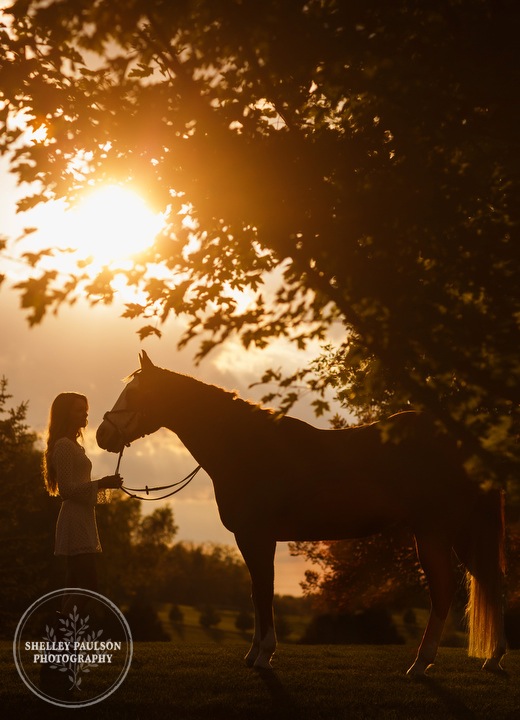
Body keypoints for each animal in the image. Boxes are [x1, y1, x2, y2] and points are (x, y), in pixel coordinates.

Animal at [95, 350, 506, 676]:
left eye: (135, 393)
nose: (102, 435)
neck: (245, 446)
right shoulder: (251, 539)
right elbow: (255, 592)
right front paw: (253, 653)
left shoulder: (257, 536)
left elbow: (264, 591)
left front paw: (264, 656)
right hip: (462, 533)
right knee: (491, 581)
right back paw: (493, 658)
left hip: (435, 532)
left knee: (444, 591)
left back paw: (421, 663)